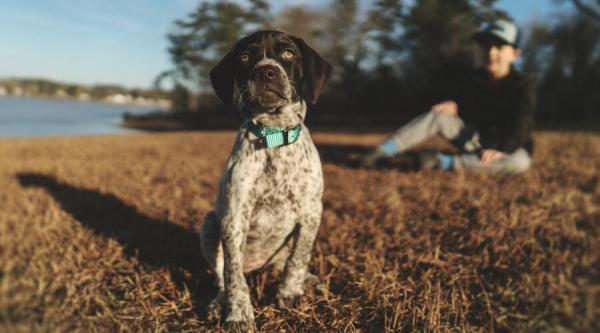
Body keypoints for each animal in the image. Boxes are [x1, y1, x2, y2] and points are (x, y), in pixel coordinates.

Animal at [200, 30, 332, 330]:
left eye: (288, 54)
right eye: (245, 57)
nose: (266, 72)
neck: (274, 136)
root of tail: (258, 267)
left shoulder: (311, 212)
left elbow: (299, 258)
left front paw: (290, 292)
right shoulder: (234, 217)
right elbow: (233, 276)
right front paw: (238, 314)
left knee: (285, 262)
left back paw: (310, 281)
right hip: (210, 224)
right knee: (223, 276)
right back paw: (217, 303)